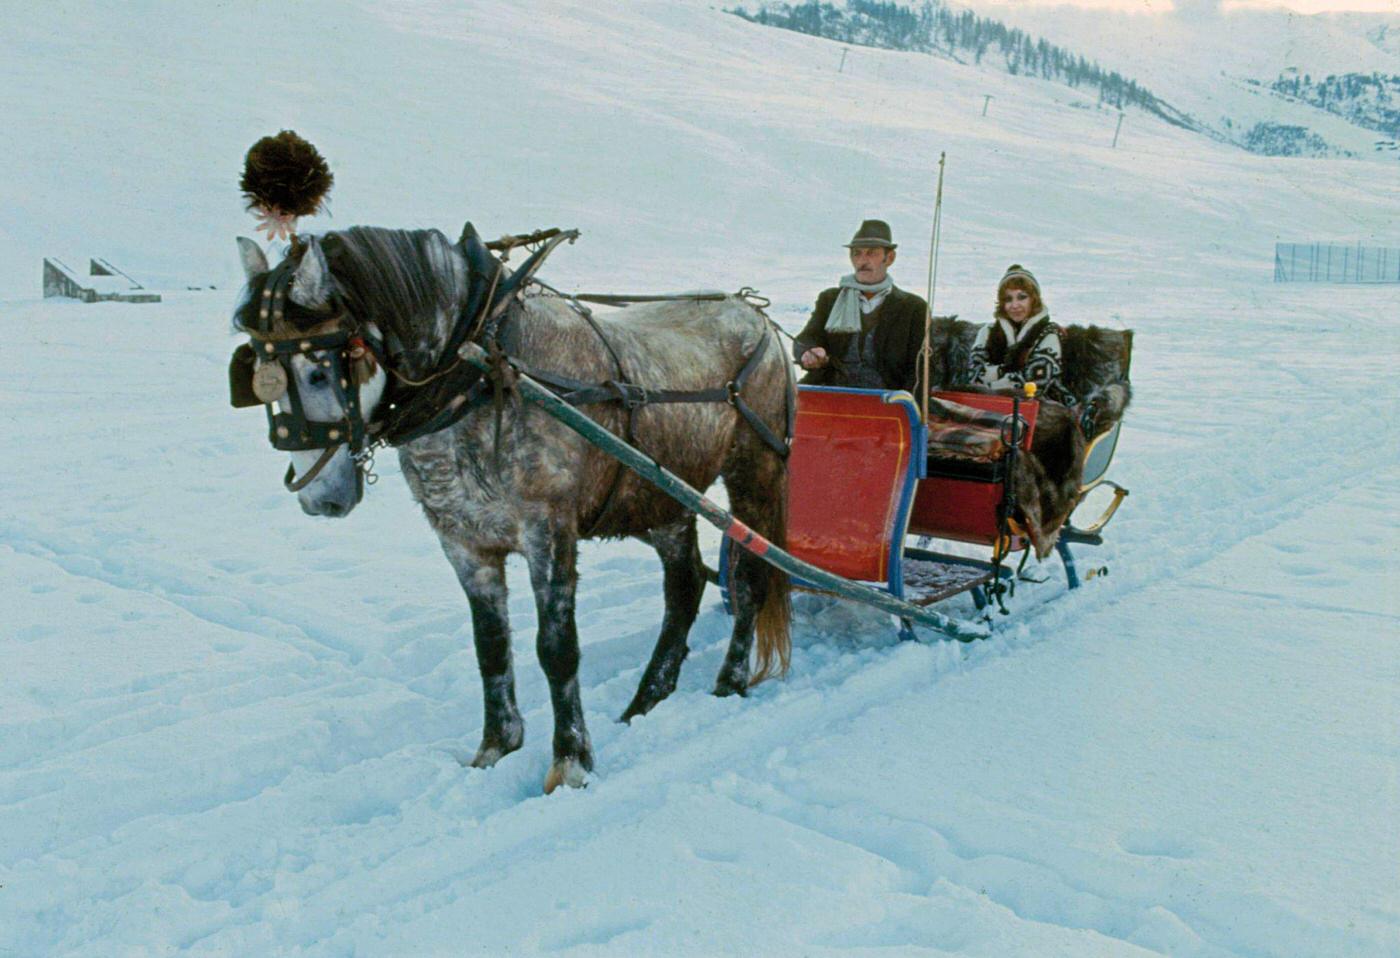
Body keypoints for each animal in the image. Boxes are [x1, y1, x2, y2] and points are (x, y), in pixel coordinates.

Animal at [235, 226, 795, 795]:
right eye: (256, 375)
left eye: (317, 372)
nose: (319, 498)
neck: (481, 372)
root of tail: (757, 317)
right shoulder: (464, 541)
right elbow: (491, 648)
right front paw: (496, 747)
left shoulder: (548, 531)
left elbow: (556, 649)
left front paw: (570, 762)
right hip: (659, 498)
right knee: (684, 585)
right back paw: (647, 701)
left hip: (754, 475)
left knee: (750, 578)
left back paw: (728, 682)